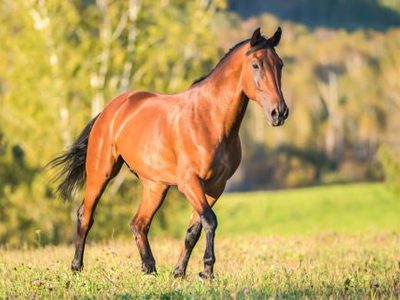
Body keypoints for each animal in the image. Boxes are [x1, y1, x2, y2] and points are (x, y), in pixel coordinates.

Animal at [49, 27, 288, 280]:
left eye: (280, 64)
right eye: (255, 64)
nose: (279, 112)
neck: (209, 120)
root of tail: (109, 110)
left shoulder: (215, 187)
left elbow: (194, 229)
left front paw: (180, 272)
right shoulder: (189, 182)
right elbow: (209, 221)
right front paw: (207, 271)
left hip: (155, 185)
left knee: (139, 223)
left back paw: (149, 268)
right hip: (101, 172)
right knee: (85, 214)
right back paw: (77, 266)